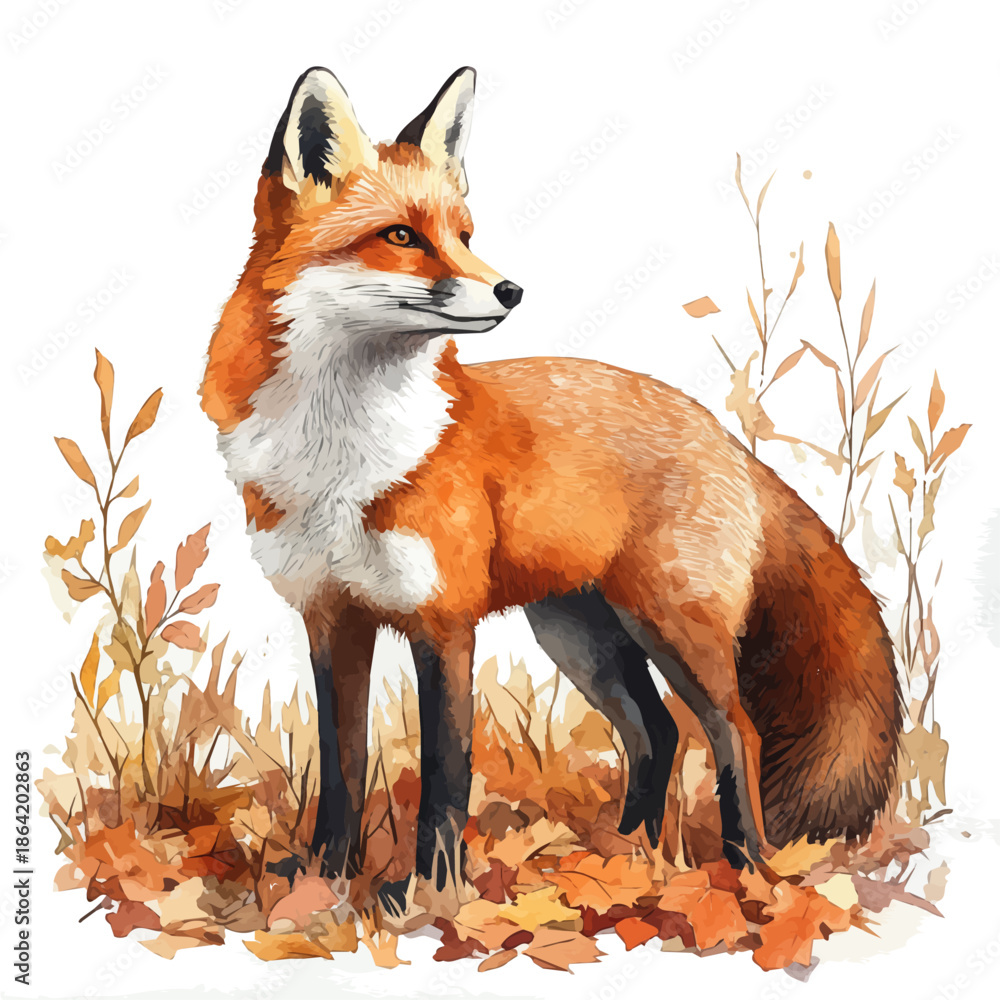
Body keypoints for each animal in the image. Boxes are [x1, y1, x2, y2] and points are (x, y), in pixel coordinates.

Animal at [201, 65, 902, 908]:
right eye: (401, 236)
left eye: (464, 235)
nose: (510, 290)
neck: (340, 456)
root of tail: (720, 432)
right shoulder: (331, 619)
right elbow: (342, 771)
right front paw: (322, 883)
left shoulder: (444, 622)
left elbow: (445, 778)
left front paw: (431, 897)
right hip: (581, 635)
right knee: (657, 732)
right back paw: (623, 857)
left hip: (670, 624)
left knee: (735, 730)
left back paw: (745, 871)